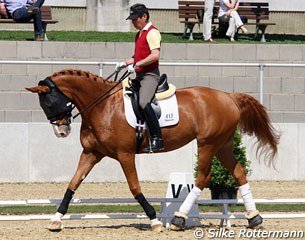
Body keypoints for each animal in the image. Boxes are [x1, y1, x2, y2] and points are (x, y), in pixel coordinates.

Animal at [27, 68, 280, 232]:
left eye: (48, 102)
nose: (61, 132)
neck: (102, 106)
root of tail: (229, 96)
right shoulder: (91, 153)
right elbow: (73, 183)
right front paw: (56, 219)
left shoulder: (125, 154)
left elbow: (134, 187)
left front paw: (155, 220)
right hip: (223, 145)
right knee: (238, 173)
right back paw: (254, 218)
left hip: (207, 144)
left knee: (203, 177)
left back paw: (178, 219)